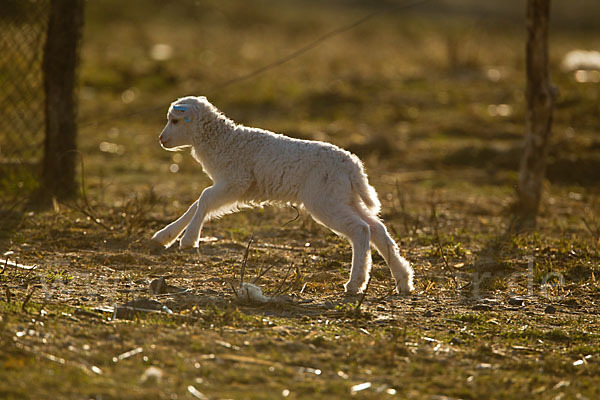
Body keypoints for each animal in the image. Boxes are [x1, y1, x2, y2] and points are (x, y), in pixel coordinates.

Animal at [151, 96, 412, 294]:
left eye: (175, 120)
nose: (161, 140)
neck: (220, 139)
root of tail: (352, 166)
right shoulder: (232, 187)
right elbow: (197, 204)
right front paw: (165, 236)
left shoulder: (236, 181)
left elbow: (203, 198)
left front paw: (188, 240)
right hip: (344, 197)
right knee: (377, 229)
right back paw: (403, 281)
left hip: (324, 201)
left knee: (361, 230)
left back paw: (355, 284)